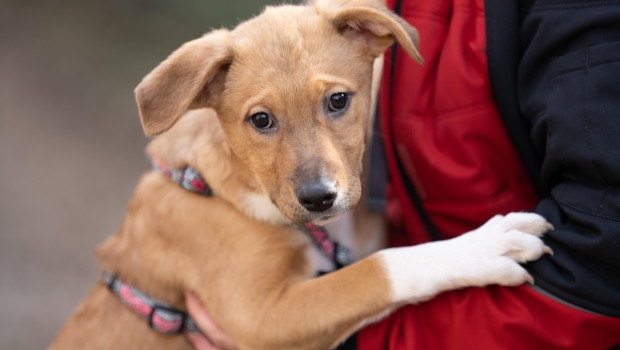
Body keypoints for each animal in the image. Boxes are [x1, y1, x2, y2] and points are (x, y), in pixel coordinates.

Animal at [48, 0, 552, 350]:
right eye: (261, 120)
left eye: (338, 101)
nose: (318, 198)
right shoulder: (255, 317)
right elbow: (376, 271)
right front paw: (485, 246)